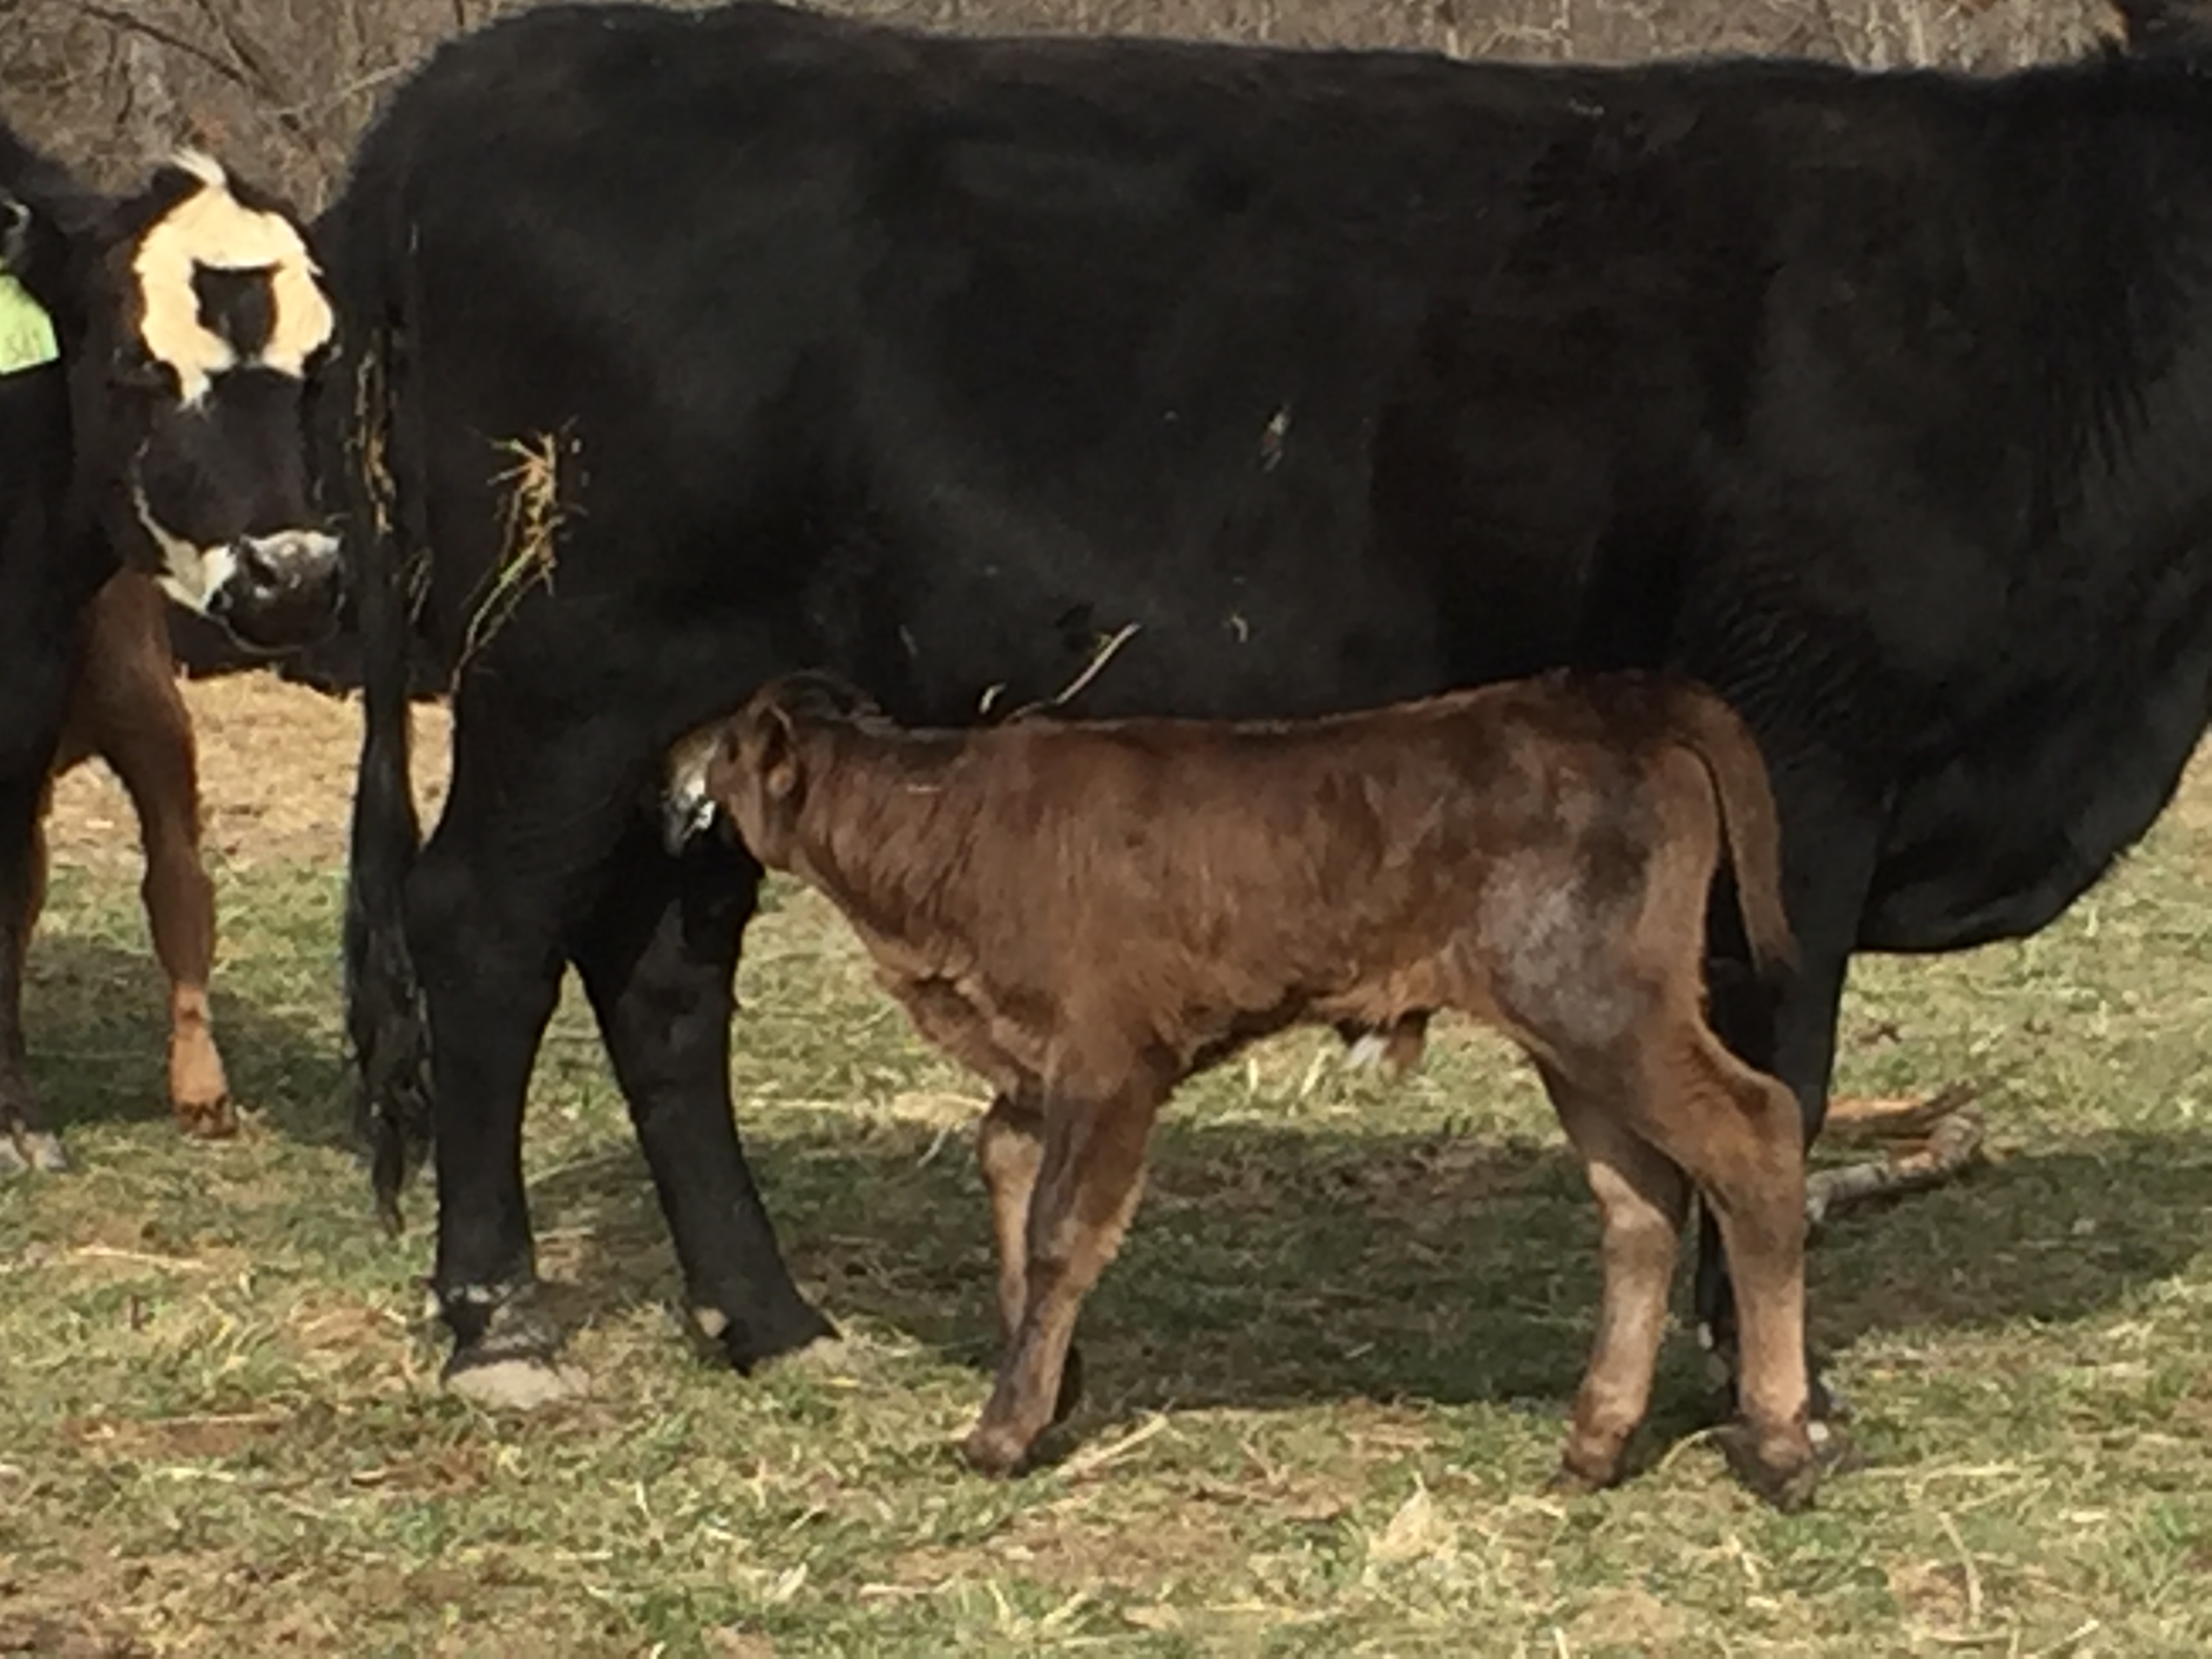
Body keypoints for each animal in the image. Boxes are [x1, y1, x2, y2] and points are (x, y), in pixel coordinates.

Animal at [0, 121, 340, 1173]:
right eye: (138, 364)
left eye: (318, 364)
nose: (292, 576)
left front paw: (17, 1120)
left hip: (142, 696)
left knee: (176, 881)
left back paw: (202, 1087)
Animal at [676, 670, 1819, 1505]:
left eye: (729, 746)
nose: (679, 765)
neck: (943, 831)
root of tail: (1608, 697)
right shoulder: (1032, 1071)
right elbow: (1003, 1170)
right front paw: (1052, 1382)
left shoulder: (1108, 1060)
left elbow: (1058, 1229)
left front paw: (1003, 1432)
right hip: (1574, 1034)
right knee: (1641, 1201)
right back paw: (1596, 1442)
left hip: (1603, 1004)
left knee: (1753, 1134)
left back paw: (1778, 1442)